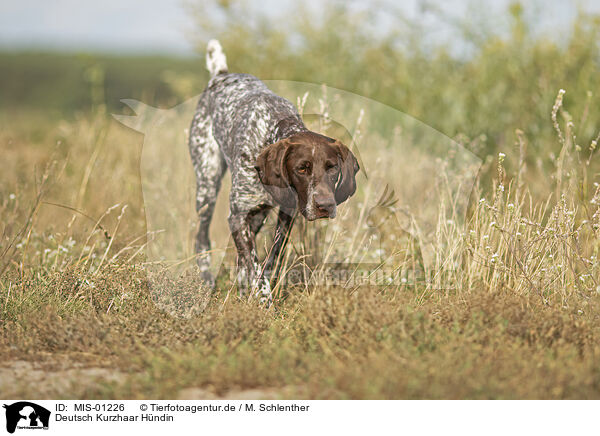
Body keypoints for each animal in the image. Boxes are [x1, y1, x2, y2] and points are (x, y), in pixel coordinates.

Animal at [188, 39, 358, 302]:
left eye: (332, 168)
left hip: (257, 215)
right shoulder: (237, 215)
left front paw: (258, 289)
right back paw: (207, 281)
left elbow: (270, 260)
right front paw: (263, 298)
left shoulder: (286, 215)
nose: (325, 206)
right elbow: (254, 263)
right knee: (202, 239)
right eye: (302, 168)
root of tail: (221, 74)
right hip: (207, 186)